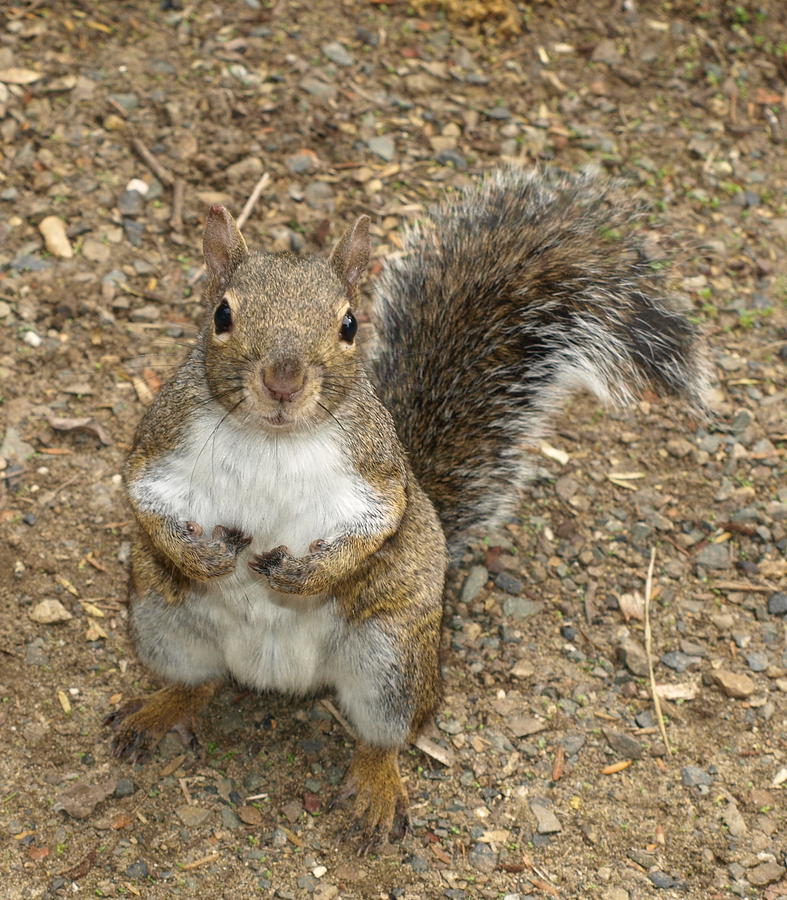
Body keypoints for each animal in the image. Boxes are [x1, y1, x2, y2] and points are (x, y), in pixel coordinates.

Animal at [107, 167, 712, 844]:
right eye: (221, 314)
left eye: (349, 324)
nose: (283, 381)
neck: (272, 437)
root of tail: (277, 678)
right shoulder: (161, 442)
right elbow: (142, 495)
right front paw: (203, 557)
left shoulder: (379, 473)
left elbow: (379, 523)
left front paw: (307, 574)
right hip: (162, 621)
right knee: (197, 683)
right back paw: (156, 712)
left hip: (390, 660)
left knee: (385, 735)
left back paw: (375, 786)